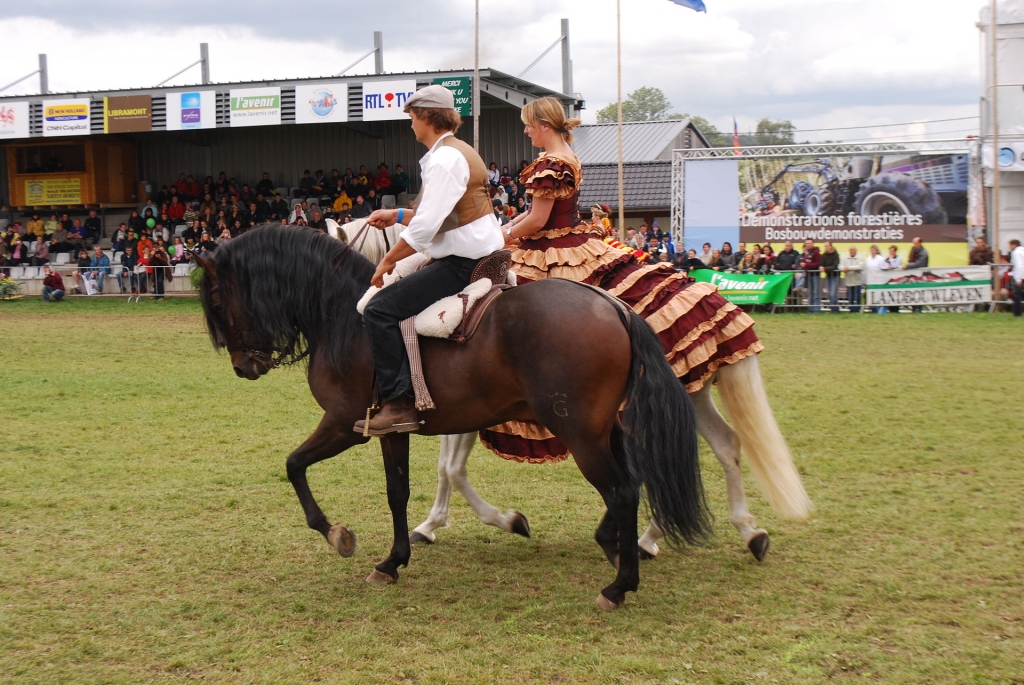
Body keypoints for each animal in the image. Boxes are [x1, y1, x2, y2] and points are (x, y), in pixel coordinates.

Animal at [193, 224, 712, 610]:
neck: (344, 316)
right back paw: (616, 548)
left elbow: (294, 465)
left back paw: (620, 586)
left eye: (217, 303)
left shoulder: (344, 423)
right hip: (606, 430)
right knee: (632, 482)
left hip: (580, 433)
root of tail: (613, 305)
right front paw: (393, 560)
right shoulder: (389, 430)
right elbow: (398, 492)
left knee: (622, 491)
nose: (243, 367)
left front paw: (337, 534)